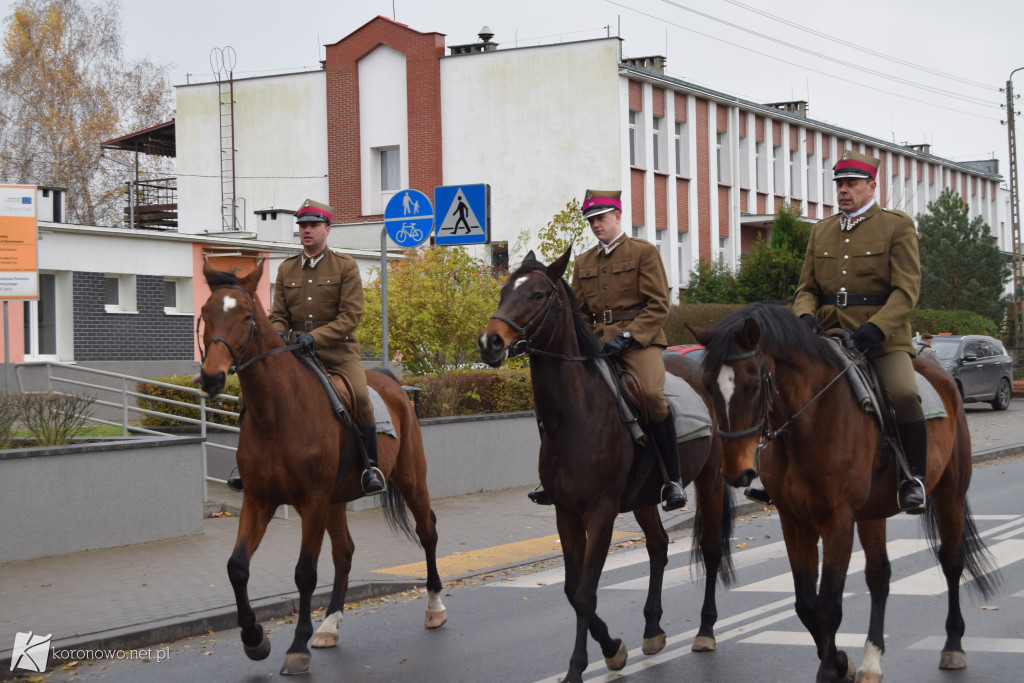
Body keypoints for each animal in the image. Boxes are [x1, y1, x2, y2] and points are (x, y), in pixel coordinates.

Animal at [195, 260, 444, 671]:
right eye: (205, 313)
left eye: (247, 316)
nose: (212, 378)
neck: (276, 412)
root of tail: (390, 382)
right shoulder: (258, 500)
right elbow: (237, 567)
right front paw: (254, 638)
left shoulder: (311, 501)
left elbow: (305, 573)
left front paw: (296, 646)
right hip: (336, 500)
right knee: (344, 552)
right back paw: (329, 624)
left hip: (411, 479)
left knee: (427, 532)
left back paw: (435, 607)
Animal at [475, 250, 733, 683]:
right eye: (503, 291)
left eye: (538, 294)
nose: (489, 342)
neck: (577, 414)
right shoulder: (565, 513)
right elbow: (571, 589)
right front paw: (612, 649)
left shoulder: (600, 514)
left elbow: (585, 592)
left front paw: (580, 666)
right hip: (645, 497)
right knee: (659, 547)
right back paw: (653, 629)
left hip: (710, 479)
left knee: (711, 549)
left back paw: (706, 630)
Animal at [688, 305, 991, 683]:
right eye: (708, 387)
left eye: (754, 384)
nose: (736, 472)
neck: (808, 421)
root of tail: (940, 373)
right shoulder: (795, 522)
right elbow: (807, 604)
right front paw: (841, 663)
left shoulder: (839, 522)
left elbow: (829, 604)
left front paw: (831, 669)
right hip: (874, 513)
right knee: (879, 576)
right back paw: (872, 660)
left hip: (949, 494)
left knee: (952, 561)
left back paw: (953, 646)